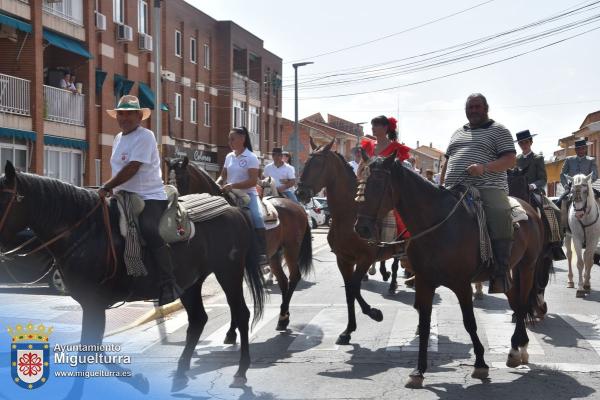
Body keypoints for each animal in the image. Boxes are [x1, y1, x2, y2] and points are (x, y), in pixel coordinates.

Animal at [0, 161, 264, 386]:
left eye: (3, 199)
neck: (84, 230)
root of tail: (233, 210)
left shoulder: (94, 303)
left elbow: (90, 347)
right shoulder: (91, 304)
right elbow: (93, 347)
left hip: (228, 273)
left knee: (241, 314)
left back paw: (241, 370)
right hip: (191, 282)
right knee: (199, 319)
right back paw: (181, 371)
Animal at [165, 155, 314, 332]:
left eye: (181, 178)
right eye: (166, 179)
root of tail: (297, 207)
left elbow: (234, 298)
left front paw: (232, 330)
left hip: (291, 248)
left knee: (294, 277)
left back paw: (283, 316)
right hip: (274, 254)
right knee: (284, 281)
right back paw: (283, 318)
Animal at [292, 140, 406, 344]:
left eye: (319, 164)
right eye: (306, 162)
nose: (300, 192)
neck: (348, 215)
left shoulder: (365, 258)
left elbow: (354, 288)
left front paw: (374, 313)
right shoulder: (343, 259)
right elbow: (349, 292)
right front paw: (348, 330)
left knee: (395, 264)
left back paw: (392, 284)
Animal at [354, 155, 556, 390]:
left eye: (378, 184)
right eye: (360, 182)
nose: (361, 228)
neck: (438, 226)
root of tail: (528, 209)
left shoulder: (461, 284)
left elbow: (469, 322)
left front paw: (480, 363)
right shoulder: (425, 282)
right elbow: (425, 325)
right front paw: (418, 371)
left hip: (526, 266)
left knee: (522, 305)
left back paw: (520, 347)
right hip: (506, 274)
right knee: (515, 301)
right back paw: (516, 348)